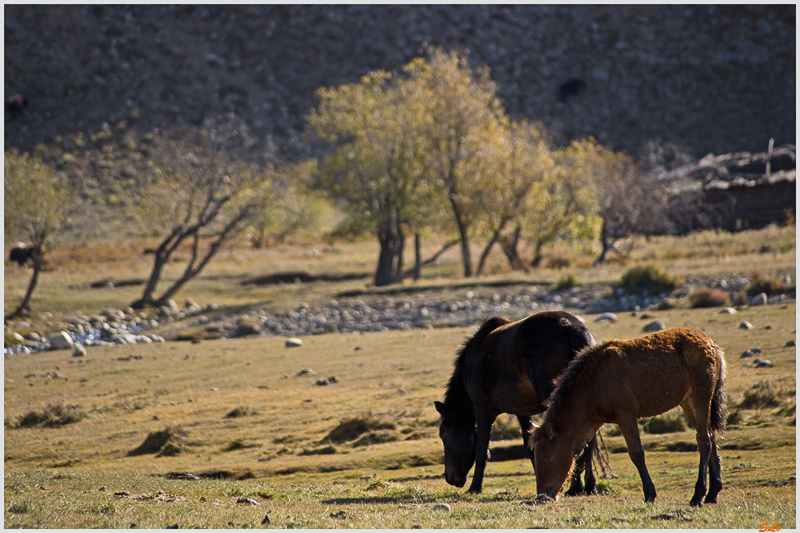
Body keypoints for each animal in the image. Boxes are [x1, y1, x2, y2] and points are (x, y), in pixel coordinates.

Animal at [432, 310, 600, 492]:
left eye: (443, 434)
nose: (450, 478)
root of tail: (570, 327)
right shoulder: (522, 410)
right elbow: (529, 444)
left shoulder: (482, 408)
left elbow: (482, 450)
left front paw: (475, 487)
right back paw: (587, 486)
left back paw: (576, 487)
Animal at [532, 326, 724, 504]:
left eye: (547, 460)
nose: (542, 496)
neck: (594, 384)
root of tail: (712, 345)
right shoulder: (591, 424)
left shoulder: (626, 416)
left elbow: (636, 454)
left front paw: (650, 493)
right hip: (687, 403)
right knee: (710, 436)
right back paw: (712, 493)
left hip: (700, 396)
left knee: (704, 440)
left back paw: (698, 494)